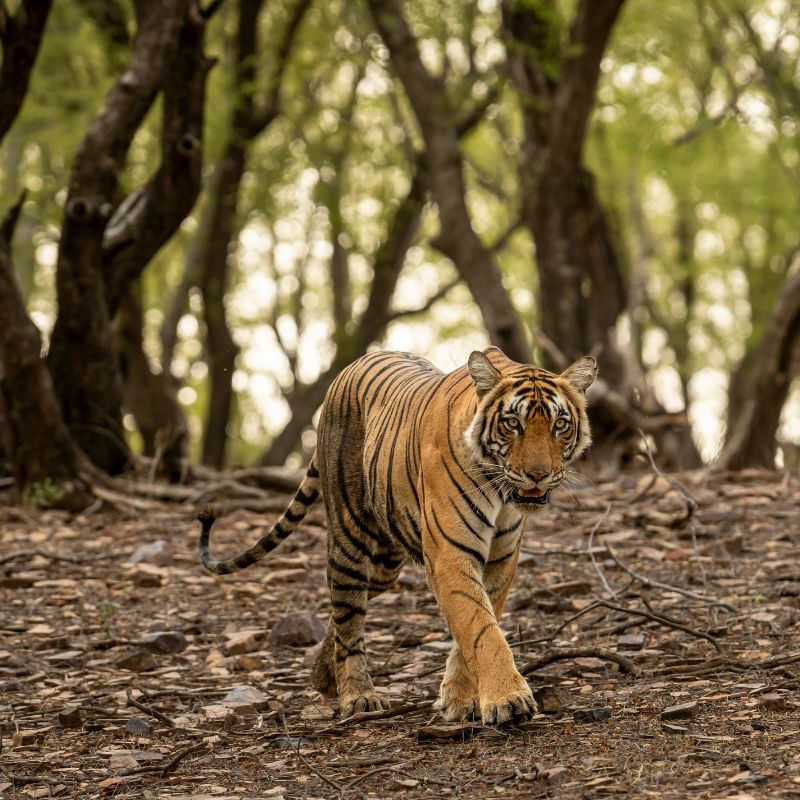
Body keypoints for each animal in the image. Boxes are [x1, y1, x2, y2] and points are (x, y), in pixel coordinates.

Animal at [198, 346, 596, 725]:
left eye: (560, 424)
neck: (501, 492)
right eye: (513, 423)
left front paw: (458, 700)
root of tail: (351, 366)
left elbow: (475, 626)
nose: (537, 475)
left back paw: (323, 677)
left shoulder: (500, 558)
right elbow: (481, 629)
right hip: (350, 540)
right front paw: (507, 700)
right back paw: (357, 695)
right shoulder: (451, 555)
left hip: (386, 564)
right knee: (348, 618)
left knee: (344, 615)